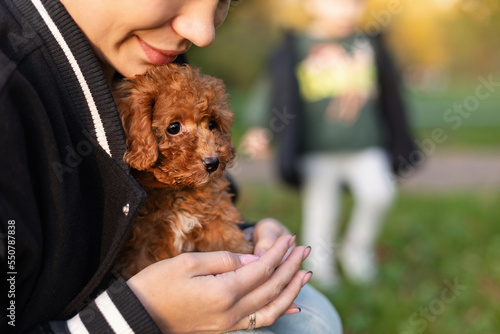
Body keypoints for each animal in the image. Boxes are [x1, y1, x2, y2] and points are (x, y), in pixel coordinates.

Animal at [114, 64, 254, 278]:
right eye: (174, 127)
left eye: (212, 124)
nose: (213, 163)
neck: (177, 189)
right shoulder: (141, 245)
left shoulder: (217, 219)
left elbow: (230, 242)